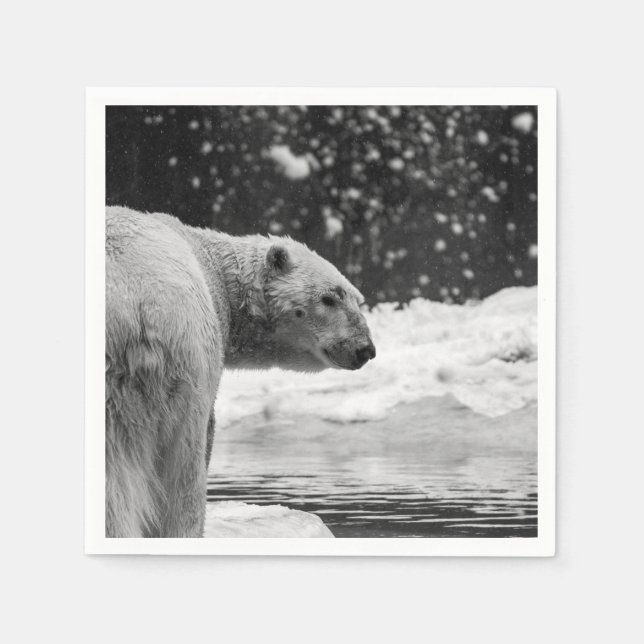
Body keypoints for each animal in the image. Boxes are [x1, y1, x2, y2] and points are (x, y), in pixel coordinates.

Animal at [105, 206, 376, 537]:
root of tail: (137, 310)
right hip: (183, 366)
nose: (364, 349)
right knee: (184, 467)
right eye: (328, 298)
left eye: (357, 299)